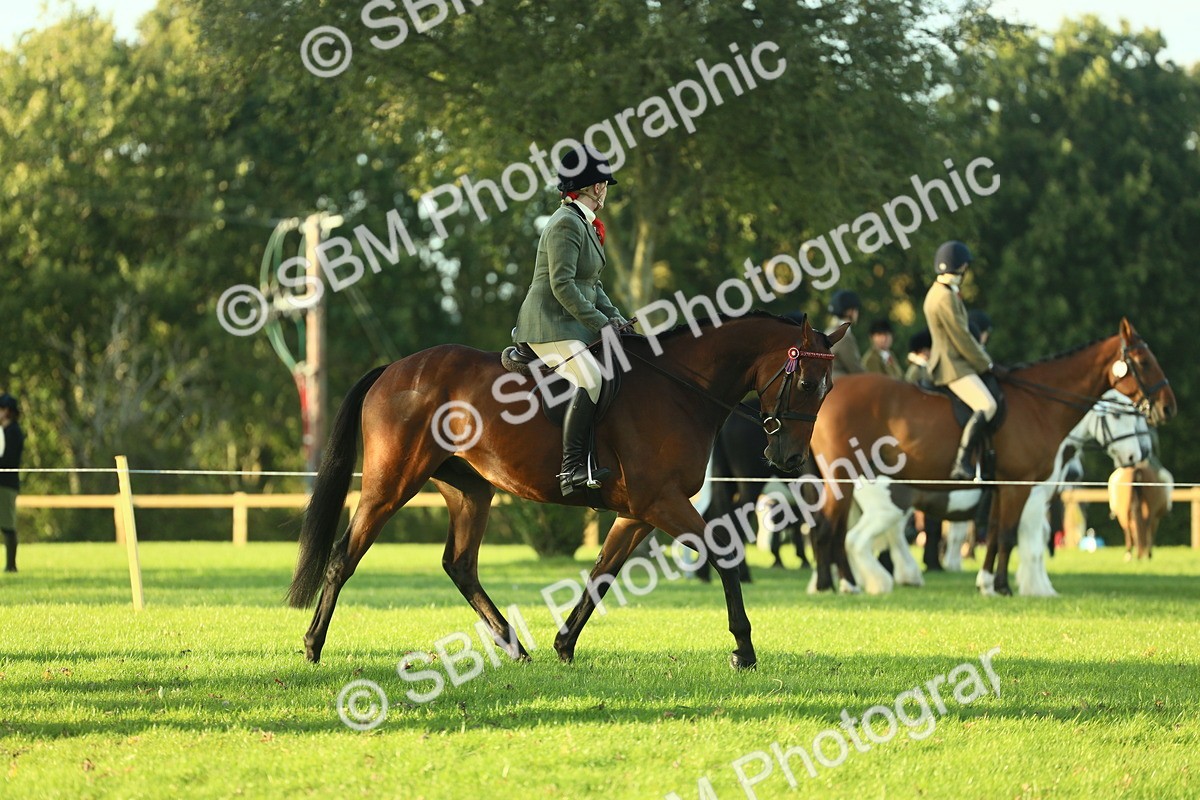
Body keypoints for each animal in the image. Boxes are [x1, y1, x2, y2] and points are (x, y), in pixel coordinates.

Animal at [287, 311, 845, 670]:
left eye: (830, 389)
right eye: (807, 383)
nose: (789, 459)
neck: (681, 390)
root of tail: (394, 368)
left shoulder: (639, 512)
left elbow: (601, 573)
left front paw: (564, 644)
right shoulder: (662, 503)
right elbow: (725, 555)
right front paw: (743, 650)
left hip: (471, 490)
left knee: (460, 565)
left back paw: (515, 647)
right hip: (392, 483)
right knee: (344, 557)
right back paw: (312, 646)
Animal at [807, 318, 1175, 596]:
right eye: (1144, 362)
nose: (1168, 408)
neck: (1039, 405)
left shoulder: (1002, 488)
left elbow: (998, 534)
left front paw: (987, 584)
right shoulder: (1021, 488)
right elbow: (1014, 537)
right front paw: (1008, 587)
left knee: (835, 529)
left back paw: (839, 583)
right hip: (846, 480)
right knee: (832, 529)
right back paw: (840, 584)